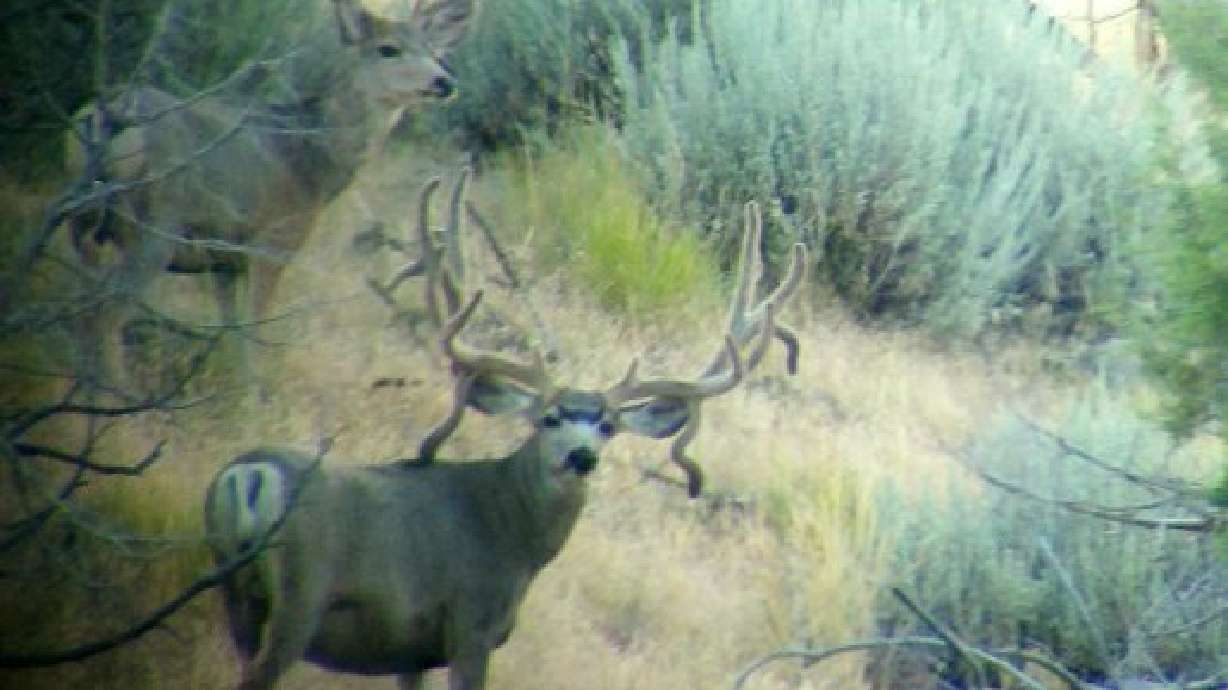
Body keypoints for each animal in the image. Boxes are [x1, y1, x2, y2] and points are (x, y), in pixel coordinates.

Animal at [63, 0, 478, 389]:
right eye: (387, 49)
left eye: (434, 51)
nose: (444, 82)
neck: (313, 158)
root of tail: (100, 118)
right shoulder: (275, 240)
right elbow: (253, 331)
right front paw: (254, 402)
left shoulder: (224, 260)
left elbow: (230, 331)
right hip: (155, 229)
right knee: (104, 315)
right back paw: (124, 402)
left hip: (81, 223)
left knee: (81, 311)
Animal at [202, 173, 807, 689]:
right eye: (549, 417)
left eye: (609, 425)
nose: (582, 456)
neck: (508, 537)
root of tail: (250, 474)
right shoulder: (472, 622)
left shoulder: (410, 650)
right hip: (301, 595)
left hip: (236, 594)